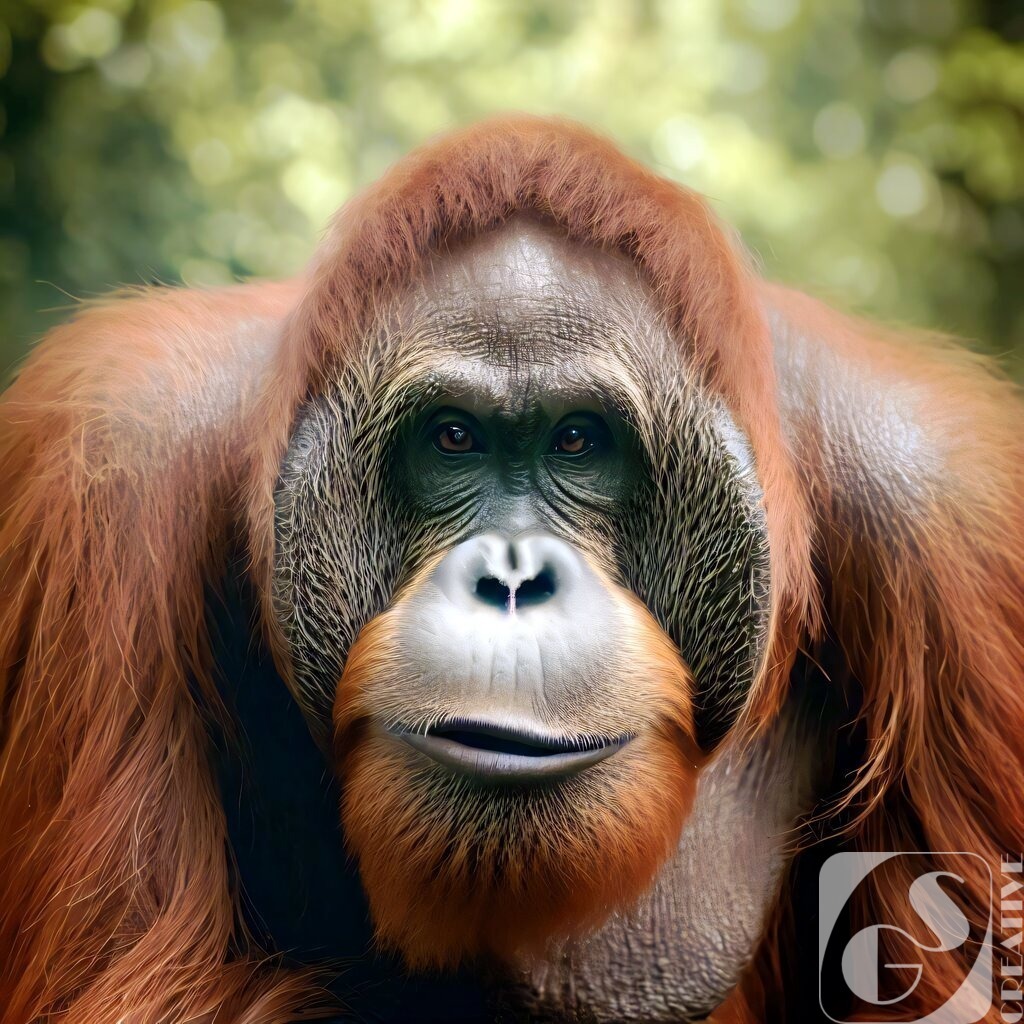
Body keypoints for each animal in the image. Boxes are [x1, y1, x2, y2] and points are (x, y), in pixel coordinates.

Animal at [1, 116, 1021, 1024]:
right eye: (453, 438)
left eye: (579, 441)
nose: (515, 578)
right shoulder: (113, 455)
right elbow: (127, 981)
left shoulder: (950, 512)